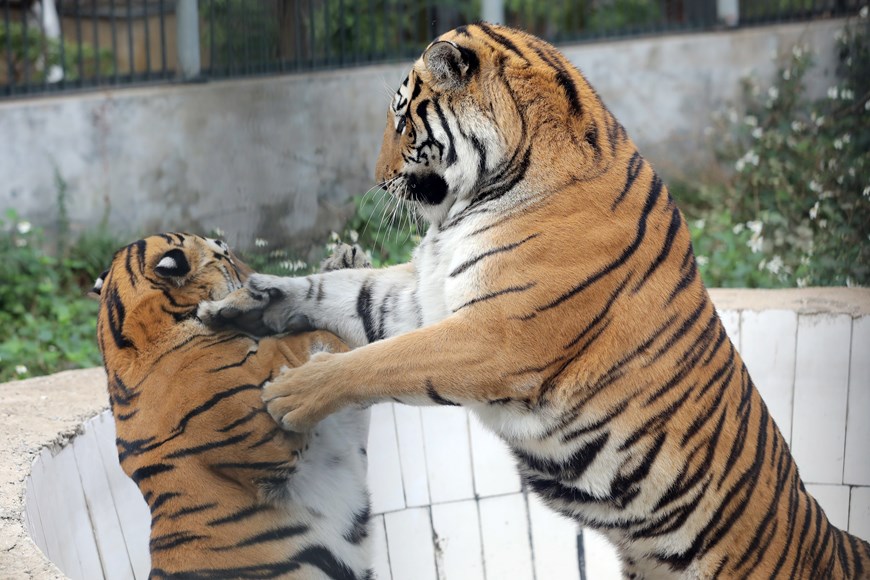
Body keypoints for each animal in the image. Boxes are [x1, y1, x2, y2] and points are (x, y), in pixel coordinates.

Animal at [93, 232, 374, 580]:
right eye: (226, 255)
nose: (255, 276)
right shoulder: (268, 438)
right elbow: (297, 340)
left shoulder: (337, 431)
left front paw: (346, 262)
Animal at [199, 23, 870, 579]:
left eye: (403, 121)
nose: (375, 178)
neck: (479, 194)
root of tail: (834, 543)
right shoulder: (425, 298)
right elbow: (343, 291)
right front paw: (246, 302)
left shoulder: (496, 336)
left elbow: (381, 361)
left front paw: (292, 394)